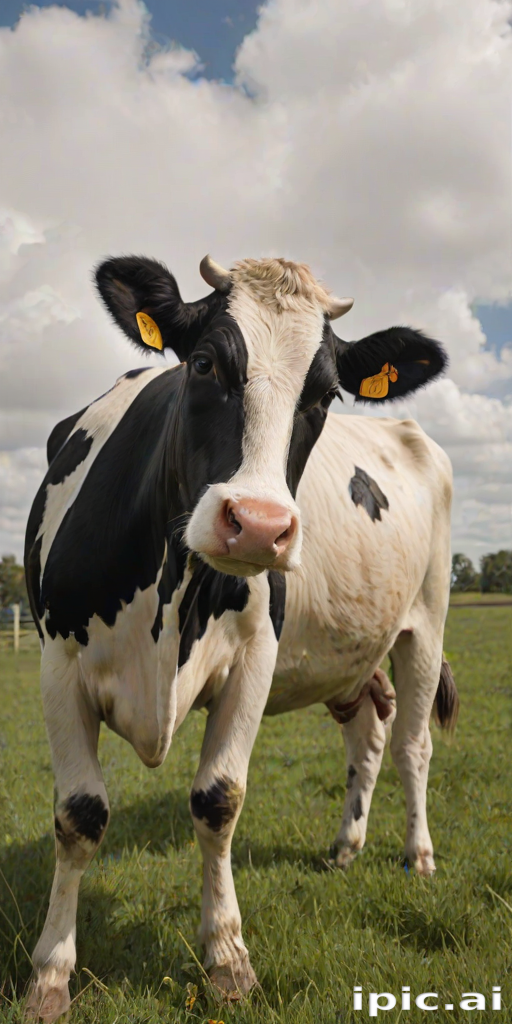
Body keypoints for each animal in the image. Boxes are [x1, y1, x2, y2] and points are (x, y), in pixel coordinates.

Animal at [23, 253, 449, 1021]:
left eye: (326, 396)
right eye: (202, 364)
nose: (257, 524)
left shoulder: (256, 658)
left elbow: (218, 800)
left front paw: (227, 956)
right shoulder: (57, 662)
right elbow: (79, 814)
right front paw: (50, 973)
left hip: (425, 623)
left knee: (412, 745)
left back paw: (418, 856)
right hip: (348, 659)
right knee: (367, 736)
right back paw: (346, 847)